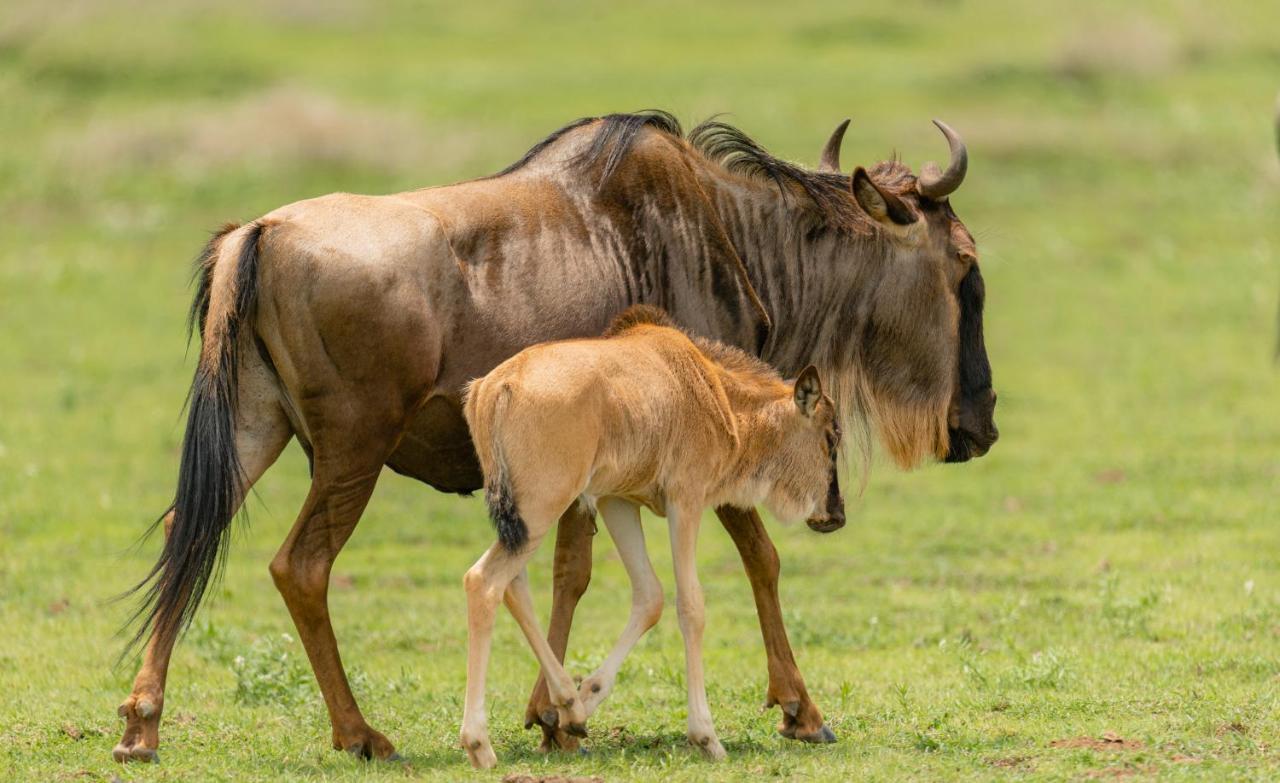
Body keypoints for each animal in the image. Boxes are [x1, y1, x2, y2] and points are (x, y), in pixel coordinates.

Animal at [460, 304, 849, 762]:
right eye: (831, 436)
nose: (836, 515)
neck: (711, 388)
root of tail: (494, 388)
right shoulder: (686, 500)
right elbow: (691, 606)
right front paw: (706, 736)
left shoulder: (618, 501)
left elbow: (650, 597)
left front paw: (582, 703)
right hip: (541, 510)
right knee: (482, 581)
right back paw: (479, 743)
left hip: (523, 521)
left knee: (513, 586)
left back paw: (568, 703)